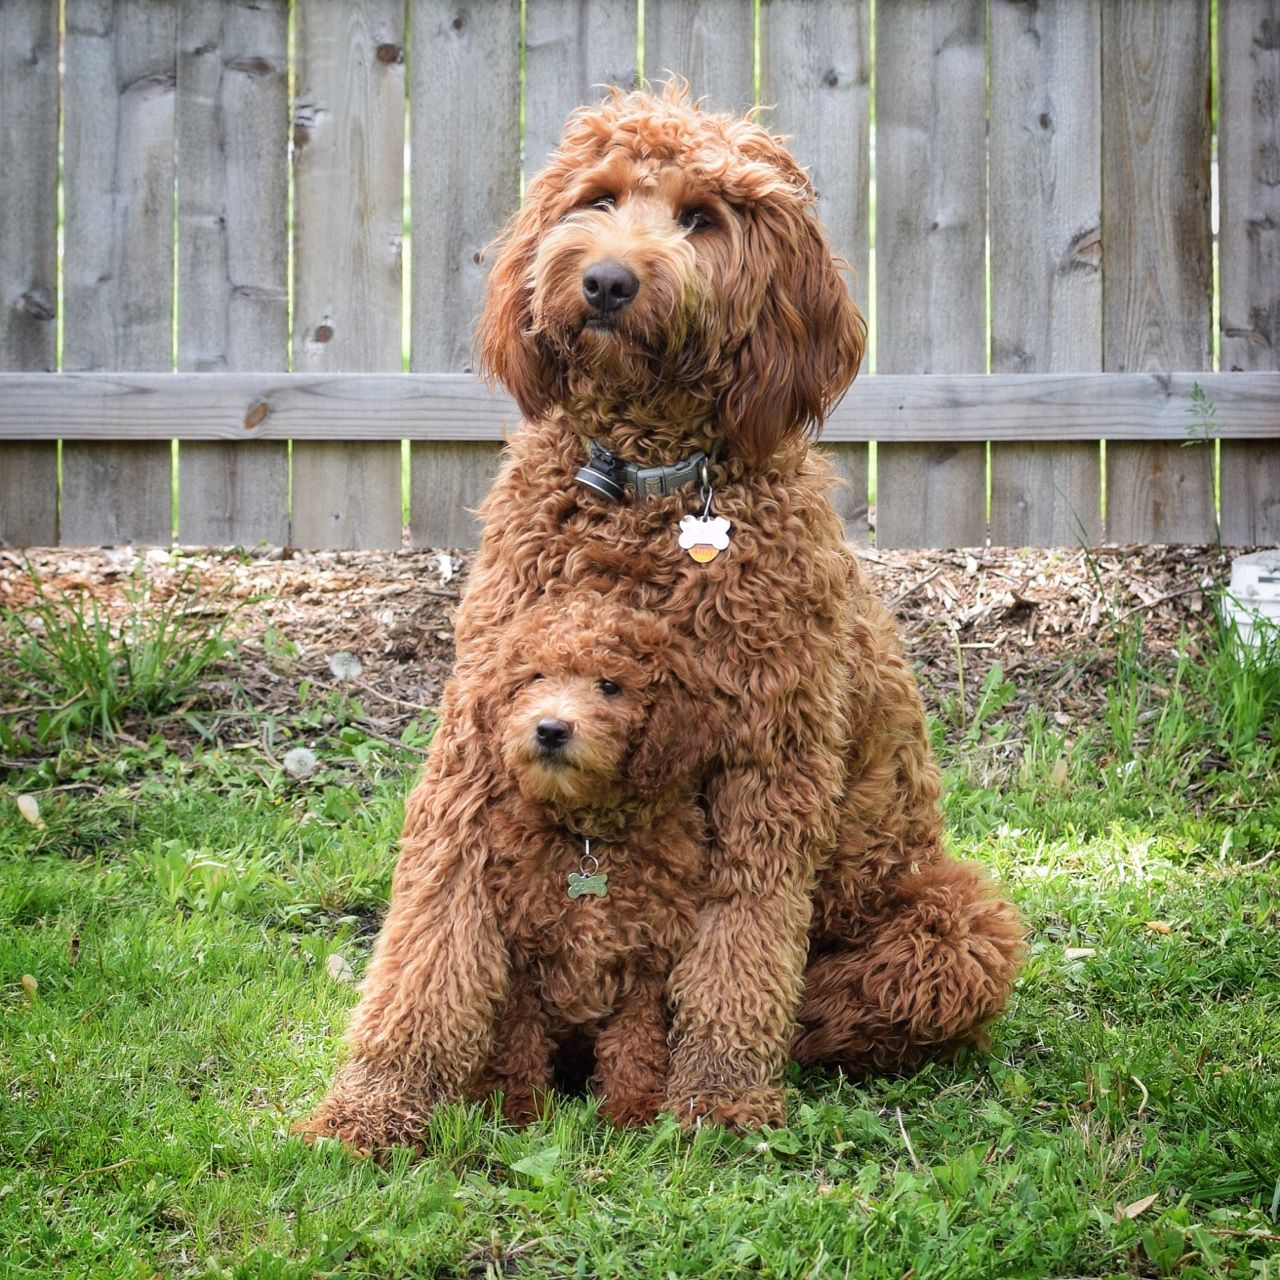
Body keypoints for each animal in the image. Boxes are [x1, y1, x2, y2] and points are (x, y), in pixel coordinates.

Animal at [296, 87, 1018, 1152]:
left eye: (702, 219)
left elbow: (738, 954)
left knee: (828, 1000)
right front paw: (372, 1106)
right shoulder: (477, 748)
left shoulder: (769, 767)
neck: (645, 487)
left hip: (954, 926)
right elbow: (428, 943)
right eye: (597, 198)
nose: (604, 281)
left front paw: (716, 1100)